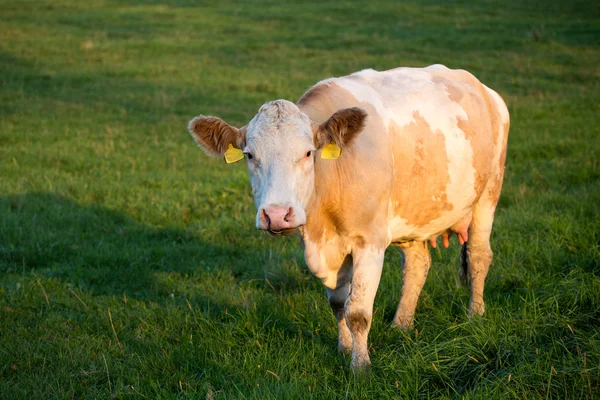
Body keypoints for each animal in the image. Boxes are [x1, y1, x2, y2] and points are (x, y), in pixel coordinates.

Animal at [186, 65, 506, 368]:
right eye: (250, 155)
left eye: (308, 153)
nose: (276, 215)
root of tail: (485, 90)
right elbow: (338, 303)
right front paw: (344, 348)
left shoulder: (370, 242)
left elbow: (358, 312)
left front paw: (360, 366)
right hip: (414, 212)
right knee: (417, 265)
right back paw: (401, 325)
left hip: (489, 191)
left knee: (478, 255)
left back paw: (475, 315)